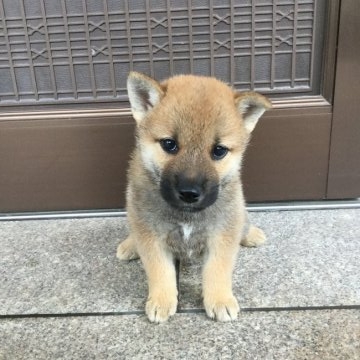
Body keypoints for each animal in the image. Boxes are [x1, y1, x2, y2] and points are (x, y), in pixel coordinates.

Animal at [116, 71, 272, 322]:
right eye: (169, 144)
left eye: (219, 150)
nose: (189, 193)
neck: (186, 216)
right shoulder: (151, 236)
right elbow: (160, 271)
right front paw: (162, 300)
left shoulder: (221, 234)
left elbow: (217, 270)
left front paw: (220, 300)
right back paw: (130, 245)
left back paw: (250, 234)